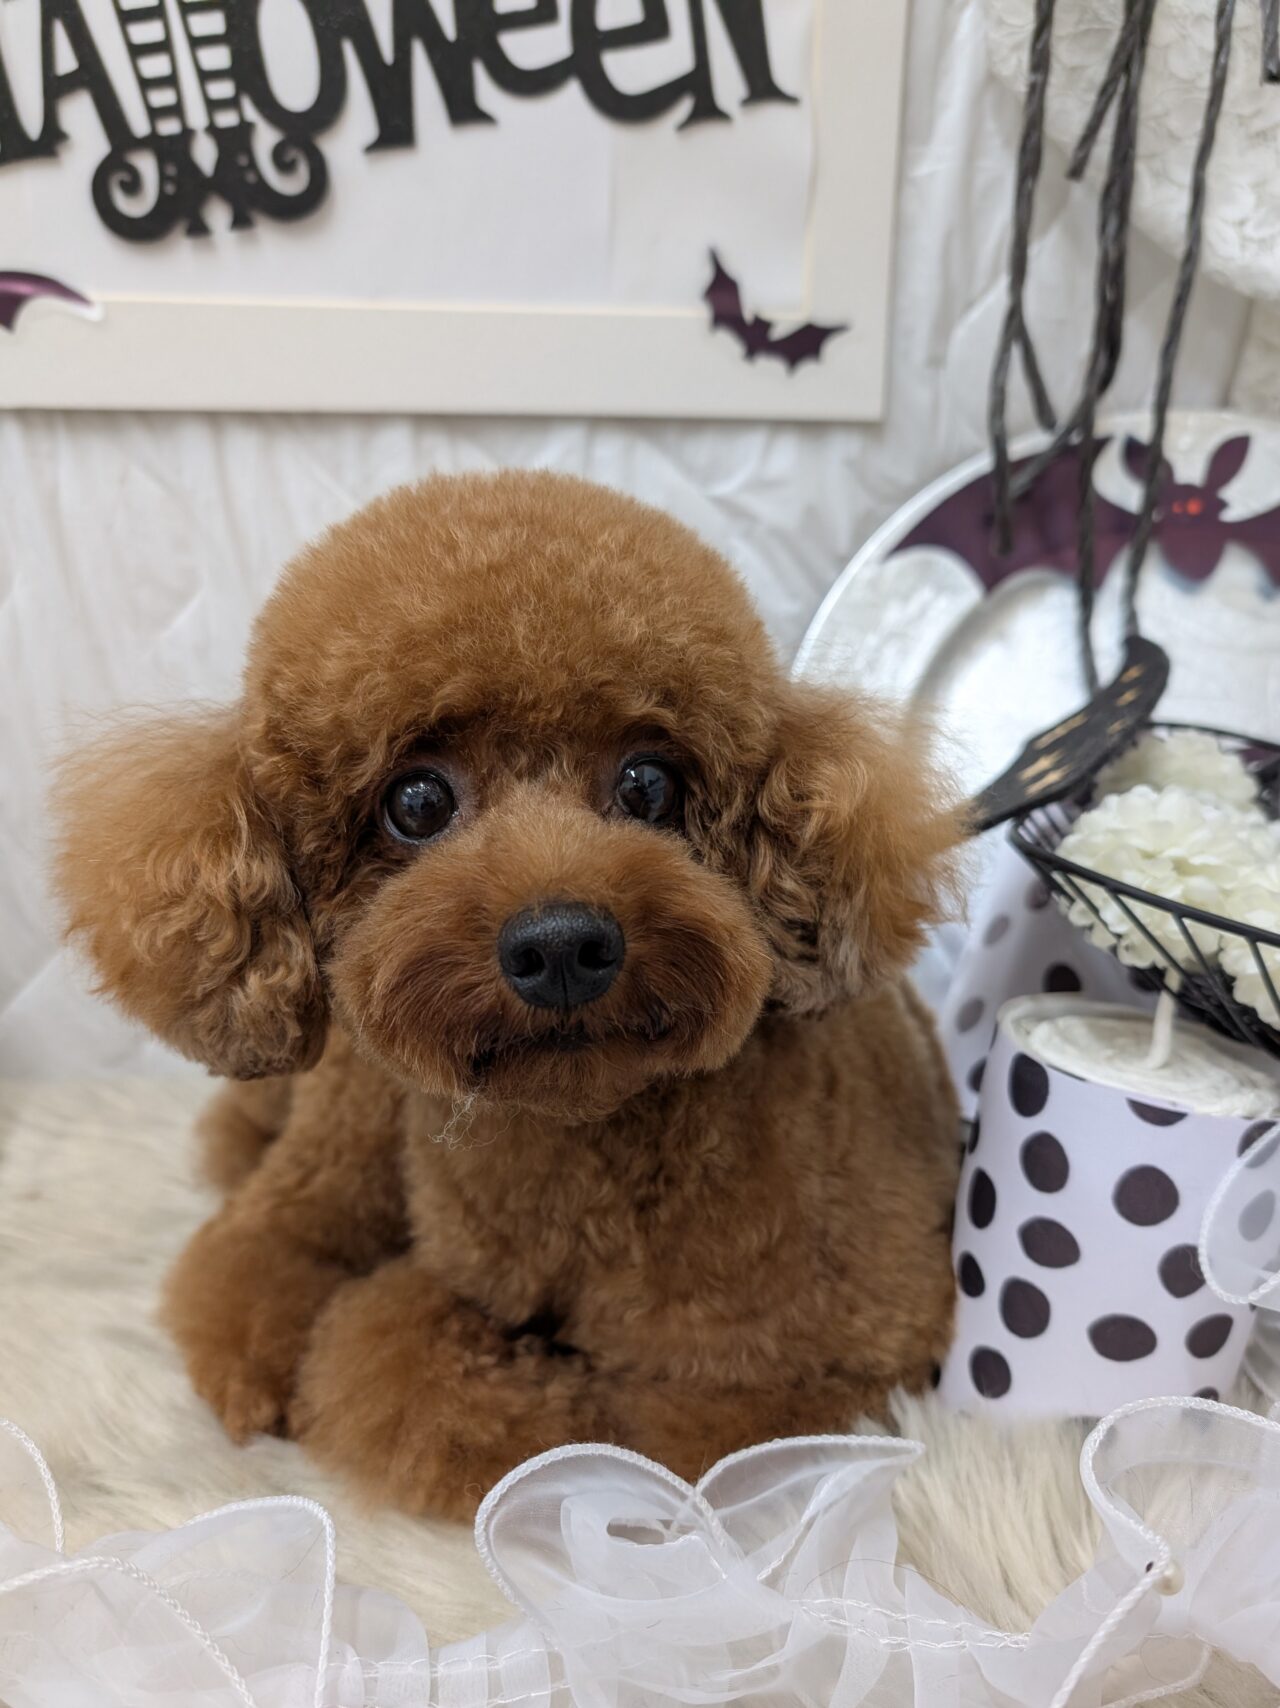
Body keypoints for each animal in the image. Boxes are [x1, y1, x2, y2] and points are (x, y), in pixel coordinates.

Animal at [54, 471, 961, 1520]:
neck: (578, 1153)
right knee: (255, 1247)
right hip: (352, 1120)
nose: (562, 944)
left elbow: (625, 1432)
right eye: (416, 803)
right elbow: (410, 1365)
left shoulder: (823, 1369)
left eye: (648, 783)